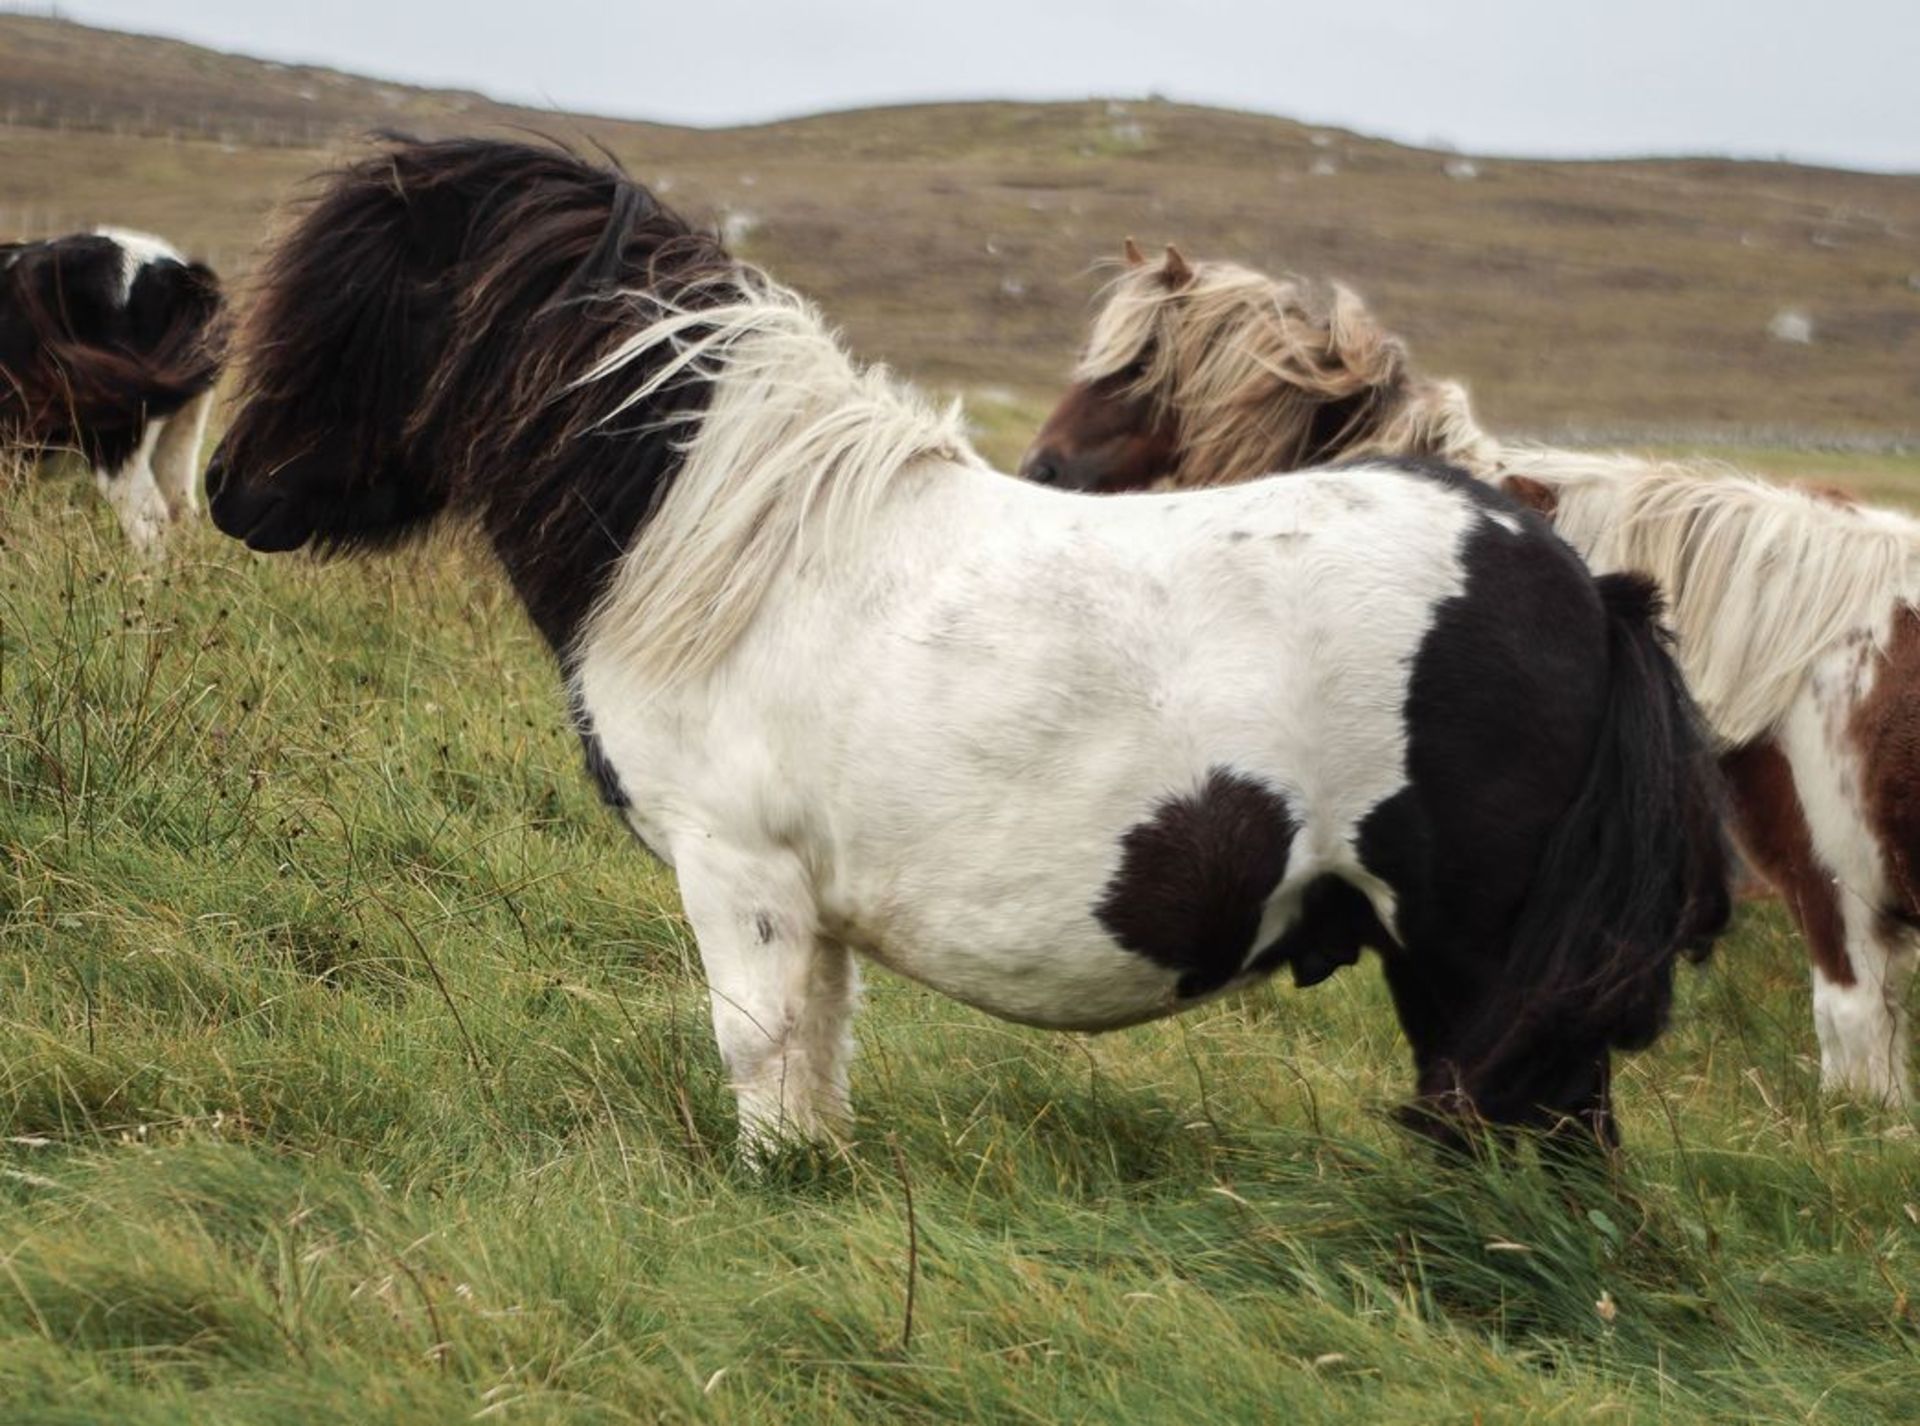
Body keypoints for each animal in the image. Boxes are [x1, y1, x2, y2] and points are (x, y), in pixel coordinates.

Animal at [206, 136, 1728, 1159]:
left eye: (352, 305)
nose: (229, 491)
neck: (732, 549)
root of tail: (1582, 583)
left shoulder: (738, 875)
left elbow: (755, 1050)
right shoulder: (809, 906)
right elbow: (816, 1065)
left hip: (1479, 969)